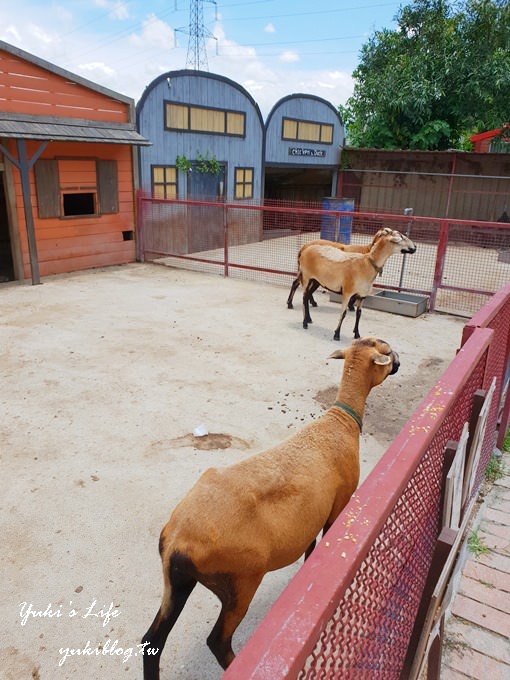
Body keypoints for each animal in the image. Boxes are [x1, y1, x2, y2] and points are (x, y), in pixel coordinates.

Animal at [141, 338, 400, 676]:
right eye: (387, 353)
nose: (399, 363)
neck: (340, 422)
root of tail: (177, 541)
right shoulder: (339, 503)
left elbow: (311, 547)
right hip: (241, 581)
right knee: (218, 640)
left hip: (178, 583)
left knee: (152, 642)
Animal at [288, 228, 416, 340]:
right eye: (401, 237)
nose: (415, 247)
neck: (367, 263)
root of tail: (305, 249)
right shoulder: (347, 292)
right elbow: (343, 313)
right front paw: (337, 334)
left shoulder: (362, 295)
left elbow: (359, 314)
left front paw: (357, 334)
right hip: (306, 276)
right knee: (304, 297)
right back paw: (304, 321)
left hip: (315, 280)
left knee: (307, 295)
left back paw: (308, 318)